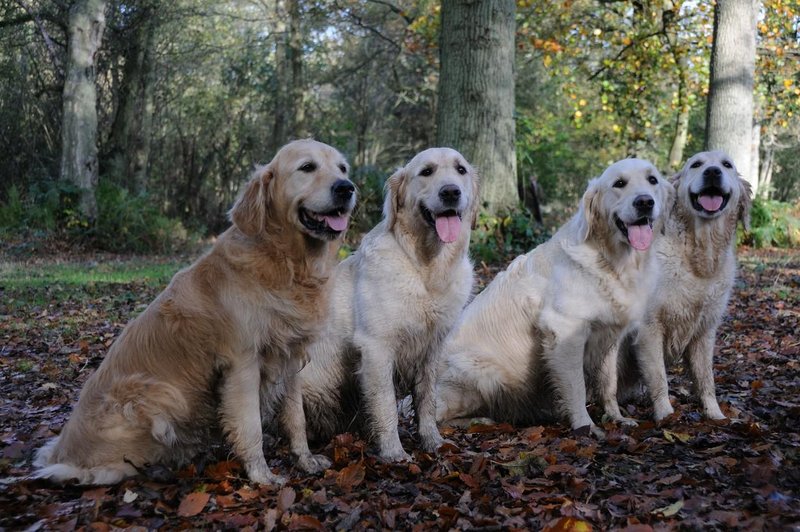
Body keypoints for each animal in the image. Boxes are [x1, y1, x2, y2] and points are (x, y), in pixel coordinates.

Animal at [438, 158, 676, 436]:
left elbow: (609, 384)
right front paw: (586, 427)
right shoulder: (564, 332)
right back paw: (478, 421)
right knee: (436, 416)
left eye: (652, 180)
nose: (645, 202)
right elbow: (576, 388)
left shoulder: (609, 337)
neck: (611, 260)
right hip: (482, 373)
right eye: (619, 183)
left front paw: (616, 418)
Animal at [624, 150, 752, 420]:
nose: (713, 172)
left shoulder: (705, 329)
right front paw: (665, 414)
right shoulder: (649, 327)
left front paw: (715, 414)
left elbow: (706, 379)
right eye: (696, 164)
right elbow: (659, 377)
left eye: (727, 165)